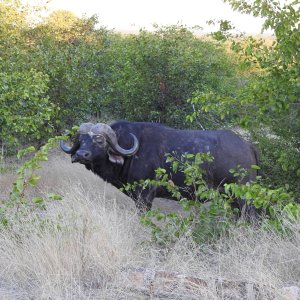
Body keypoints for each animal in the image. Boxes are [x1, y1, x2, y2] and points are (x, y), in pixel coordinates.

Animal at [60, 119, 258, 216]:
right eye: (81, 139)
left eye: (99, 140)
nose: (81, 155)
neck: (131, 152)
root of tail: (247, 146)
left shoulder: (145, 195)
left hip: (243, 196)